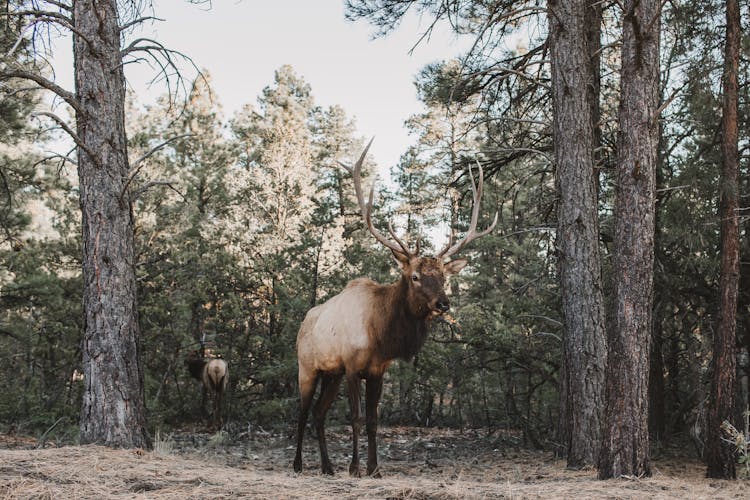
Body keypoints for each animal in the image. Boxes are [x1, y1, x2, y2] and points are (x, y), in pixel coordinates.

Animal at [294, 141, 500, 476]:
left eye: (443, 276)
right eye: (415, 276)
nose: (443, 303)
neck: (380, 335)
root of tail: (303, 323)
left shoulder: (377, 371)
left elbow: (373, 421)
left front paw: (374, 468)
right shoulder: (352, 367)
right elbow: (356, 418)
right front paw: (355, 467)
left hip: (331, 373)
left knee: (318, 414)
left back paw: (327, 466)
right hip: (308, 367)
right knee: (301, 413)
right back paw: (298, 464)